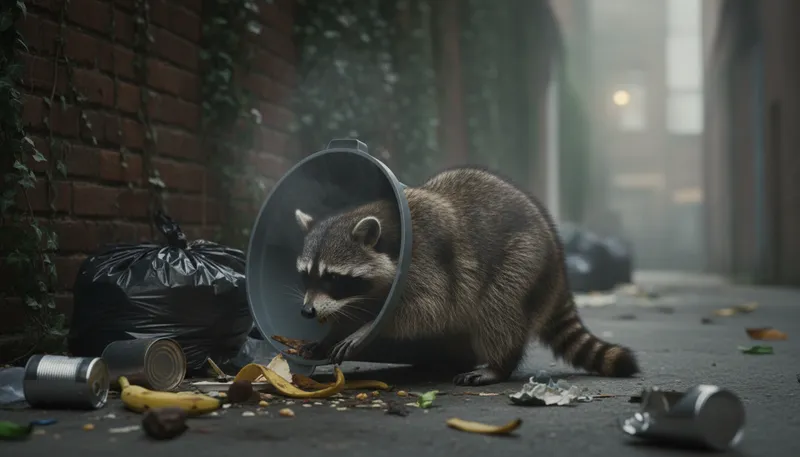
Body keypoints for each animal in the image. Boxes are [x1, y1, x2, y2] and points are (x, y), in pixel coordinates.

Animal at [293, 167, 640, 386]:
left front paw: (367, 329)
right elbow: (357, 310)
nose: (306, 311)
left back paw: (500, 365)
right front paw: (330, 336)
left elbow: (428, 310)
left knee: (499, 311)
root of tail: (558, 256)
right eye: (306, 275)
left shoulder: (426, 260)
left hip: (523, 260)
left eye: (332, 277)